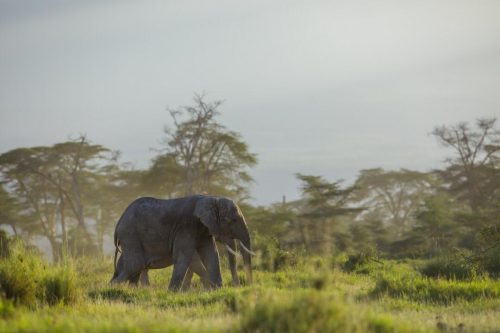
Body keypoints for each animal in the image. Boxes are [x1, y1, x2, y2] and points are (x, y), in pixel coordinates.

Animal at [110, 193, 254, 290]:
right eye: (232, 220)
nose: (243, 286)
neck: (211, 198)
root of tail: (118, 224)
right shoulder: (186, 227)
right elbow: (185, 256)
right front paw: (172, 292)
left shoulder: (203, 229)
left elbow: (211, 254)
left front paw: (216, 289)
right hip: (130, 234)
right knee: (136, 265)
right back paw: (114, 288)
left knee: (131, 266)